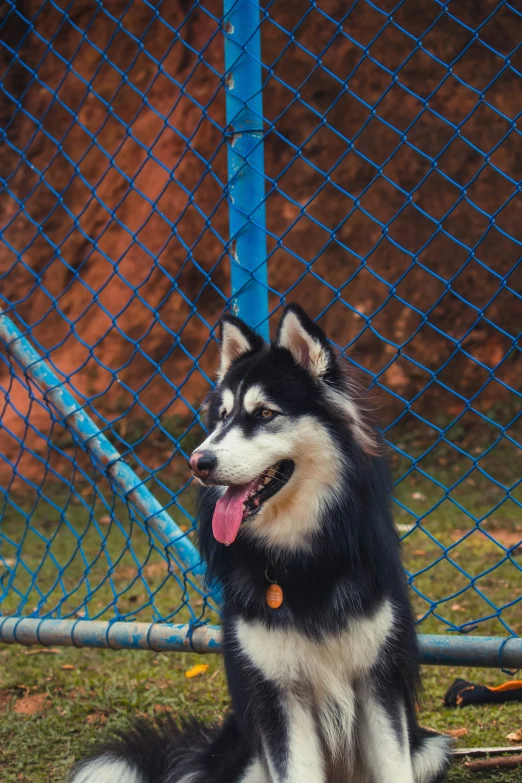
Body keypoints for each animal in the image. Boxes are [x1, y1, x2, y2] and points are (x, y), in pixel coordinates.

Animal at [70, 304, 450, 783]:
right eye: (221, 417)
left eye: (265, 414)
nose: (198, 462)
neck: (301, 562)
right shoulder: (277, 695)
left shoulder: (378, 684)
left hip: (431, 748)